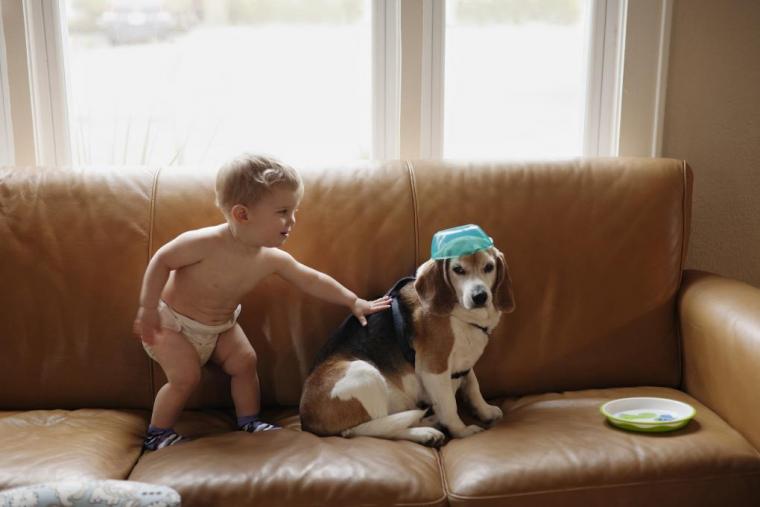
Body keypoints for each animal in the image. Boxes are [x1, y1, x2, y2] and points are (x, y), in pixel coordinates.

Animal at [300, 248, 512, 446]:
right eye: (458, 269)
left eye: (489, 267)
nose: (480, 296)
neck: (460, 314)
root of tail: (305, 420)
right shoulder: (433, 368)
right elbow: (449, 405)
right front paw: (461, 431)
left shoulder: (464, 362)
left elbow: (473, 385)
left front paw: (485, 410)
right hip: (364, 373)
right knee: (374, 430)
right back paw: (426, 432)